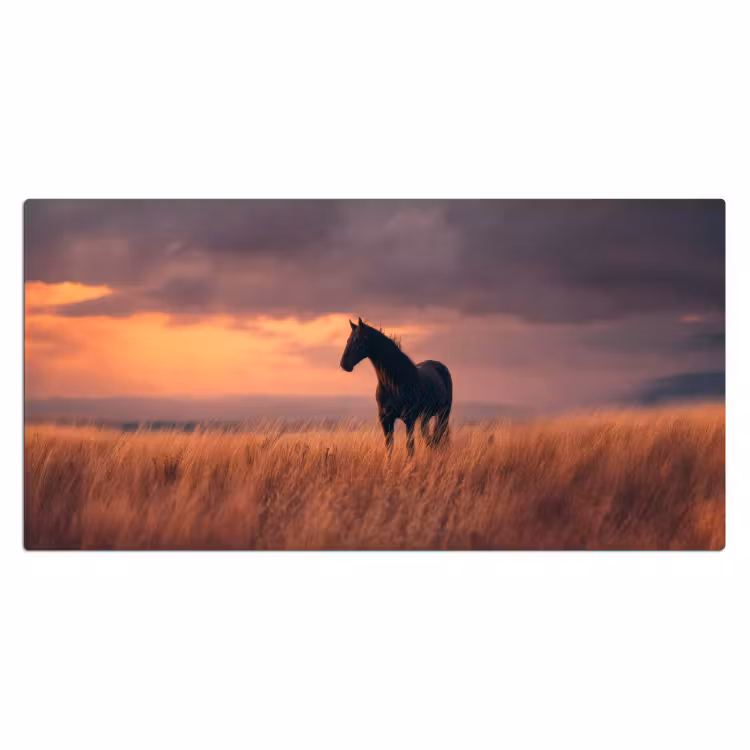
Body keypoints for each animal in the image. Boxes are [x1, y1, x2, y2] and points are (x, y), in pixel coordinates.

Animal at [340, 317, 452, 457]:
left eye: (358, 340)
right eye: (348, 339)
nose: (344, 364)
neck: (393, 383)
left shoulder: (409, 419)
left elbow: (410, 447)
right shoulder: (385, 420)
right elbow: (389, 447)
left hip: (443, 414)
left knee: (437, 437)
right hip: (425, 416)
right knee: (430, 440)